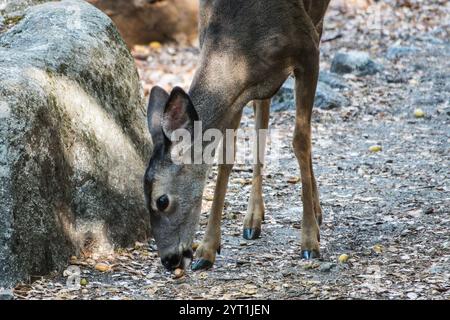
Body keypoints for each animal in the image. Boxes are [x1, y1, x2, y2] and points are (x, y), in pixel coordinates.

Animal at [144, 0, 330, 272]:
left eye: (162, 201)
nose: (169, 260)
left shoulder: (308, 51)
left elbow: (300, 140)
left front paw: (309, 242)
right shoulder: (239, 92)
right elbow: (226, 157)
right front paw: (206, 250)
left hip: (316, 21)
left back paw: (315, 215)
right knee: (262, 120)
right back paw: (253, 220)